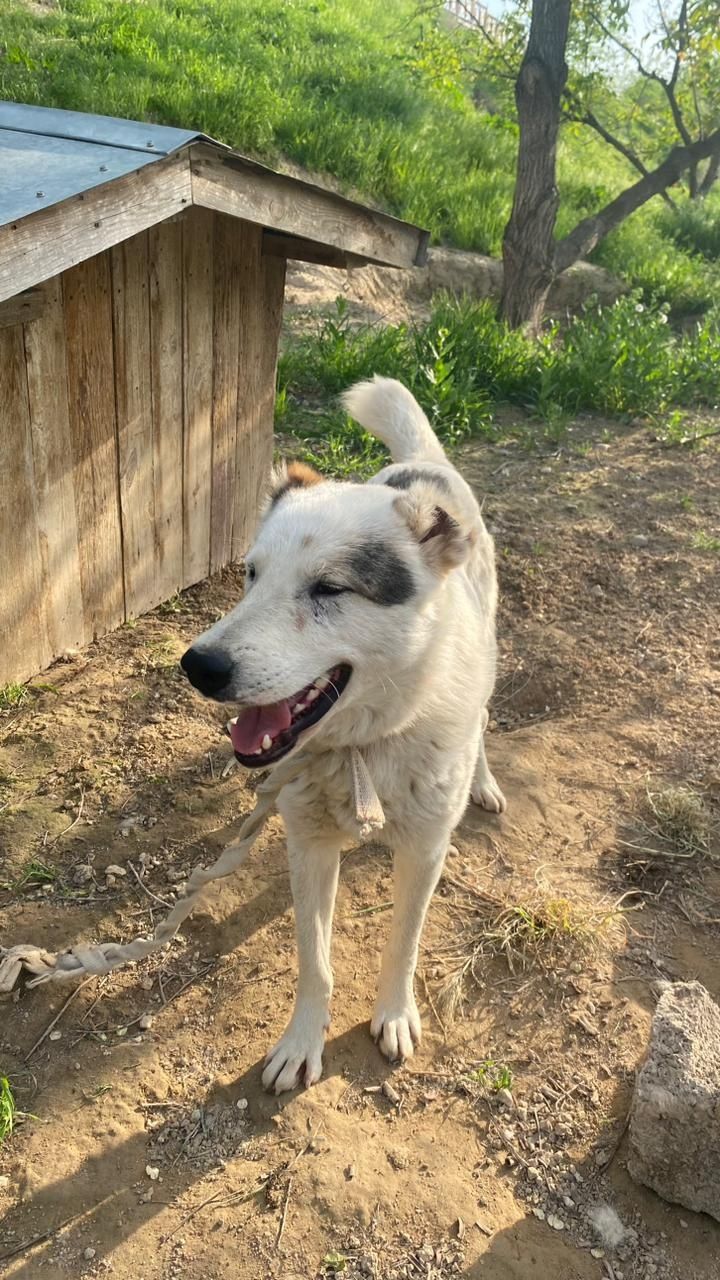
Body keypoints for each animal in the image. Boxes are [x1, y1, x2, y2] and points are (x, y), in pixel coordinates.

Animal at [181, 373, 502, 1095]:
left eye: (329, 588)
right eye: (250, 574)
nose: (198, 666)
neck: (365, 748)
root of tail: (425, 466)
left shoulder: (424, 853)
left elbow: (402, 946)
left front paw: (394, 1014)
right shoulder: (308, 847)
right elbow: (316, 965)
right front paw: (301, 1043)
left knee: (484, 719)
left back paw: (484, 780)